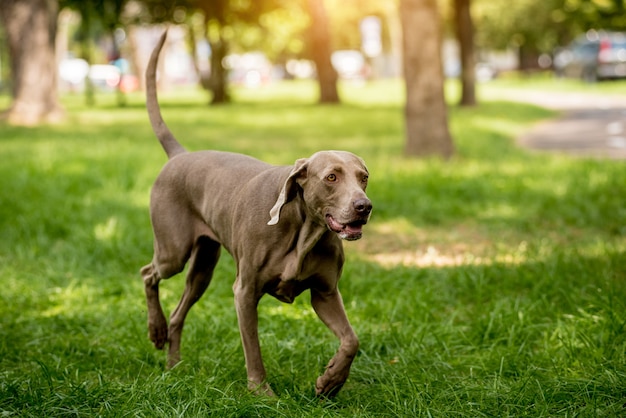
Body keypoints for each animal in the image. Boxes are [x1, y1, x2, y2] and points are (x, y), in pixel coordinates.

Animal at [139, 31, 368, 396]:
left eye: (364, 178)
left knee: (179, 312)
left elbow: (352, 340)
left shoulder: (325, 293)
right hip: (173, 250)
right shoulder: (244, 291)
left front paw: (330, 381)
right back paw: (156, 330)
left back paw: (173, 367)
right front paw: (262, 394)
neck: (303, 230)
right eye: (331, 177)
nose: (364, 207)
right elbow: (253, 348)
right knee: (149, 273)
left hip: (203, 266)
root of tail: (179, 155)